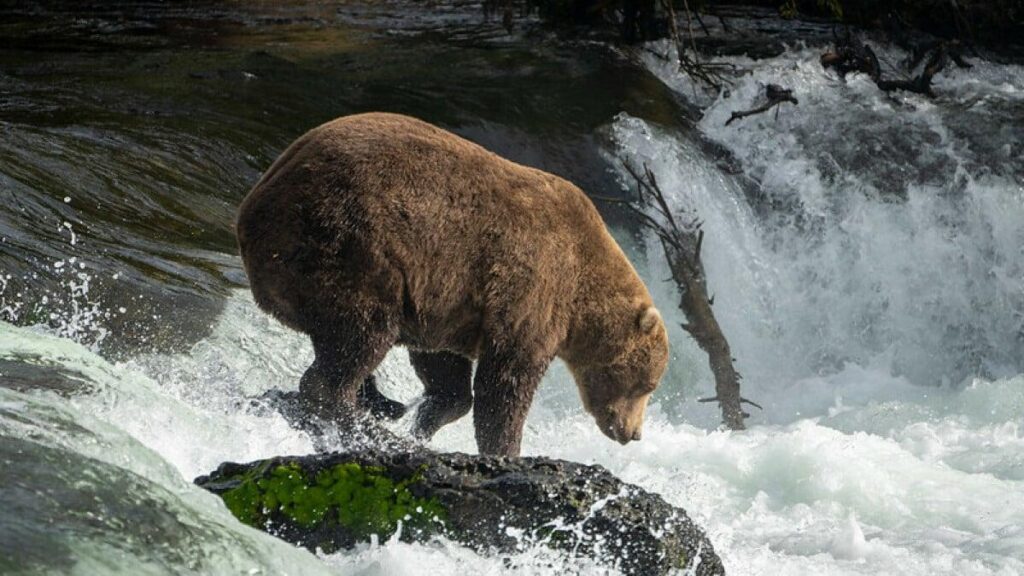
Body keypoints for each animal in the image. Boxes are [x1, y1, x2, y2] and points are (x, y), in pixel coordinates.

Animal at [239, 111, 671, 453]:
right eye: (646, 385)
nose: (633, 433)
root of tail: (253, 208)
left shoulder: (446, 299)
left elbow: (444, 366)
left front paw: (428, 418)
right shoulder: (535, 290)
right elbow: (506, 384)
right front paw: (505, 449)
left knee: (341, 342)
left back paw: (380, 404)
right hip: (350, 242)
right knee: (361, 336)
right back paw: (357, 417)